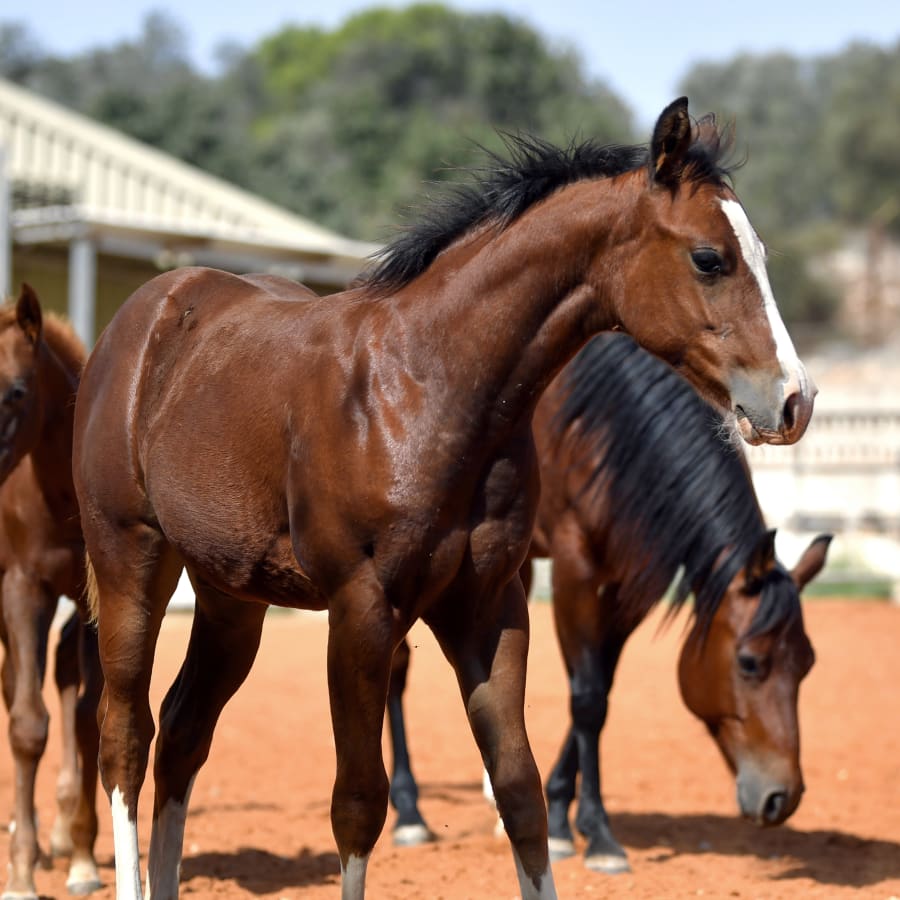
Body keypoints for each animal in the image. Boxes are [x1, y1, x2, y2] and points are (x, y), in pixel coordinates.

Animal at [384, 332, 828, 864]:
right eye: (749, 663)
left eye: (807, 664)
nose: (783, 797)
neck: (608, 429)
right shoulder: (575, 570)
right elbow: (588, 696)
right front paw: (594, 834)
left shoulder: (626, 584)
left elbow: (601, 689)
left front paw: (558, 808)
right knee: (396, 670)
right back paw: (409, 813)